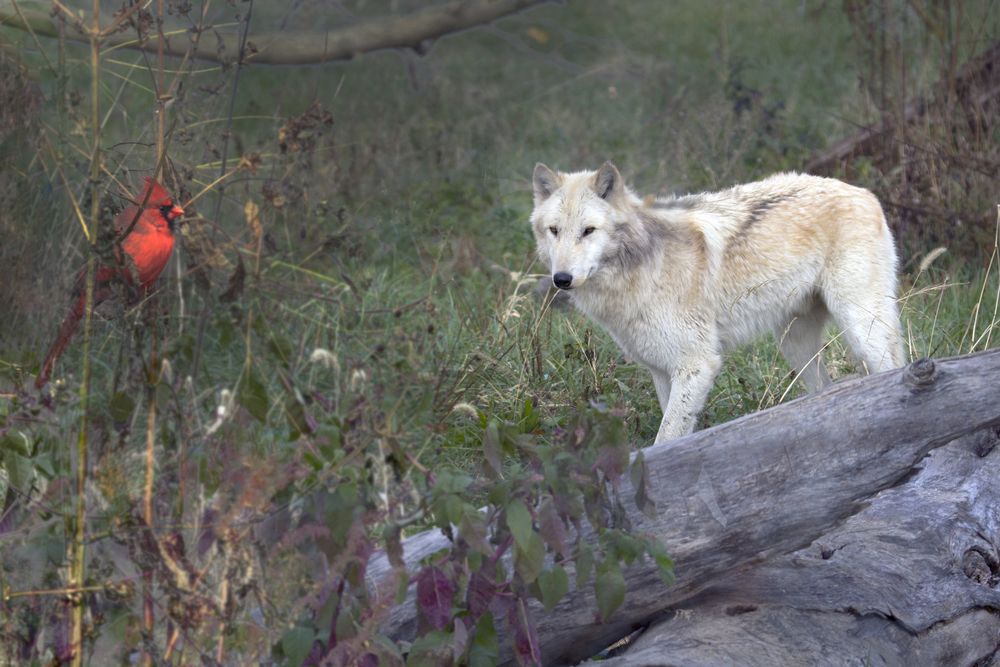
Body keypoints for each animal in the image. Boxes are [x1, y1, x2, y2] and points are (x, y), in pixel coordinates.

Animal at [530, 161, 906, 444]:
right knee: (824, 390)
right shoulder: (663, 371)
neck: (638, 268)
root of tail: (864, 192)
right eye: (554, 230)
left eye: (588, 231)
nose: (561, 279)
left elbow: (666, 436)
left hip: (861, 330)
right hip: (794, 345)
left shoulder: (697, 365)